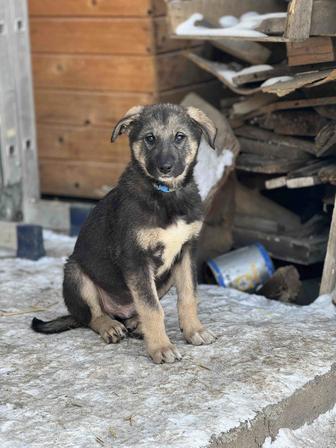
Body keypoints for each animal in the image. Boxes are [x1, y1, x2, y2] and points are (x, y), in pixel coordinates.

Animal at [32, 104, 218, 364]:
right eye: (150, 138)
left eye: (180, 137)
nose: (165, 168)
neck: (165, 195)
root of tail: (118, 312)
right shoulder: (136, 258)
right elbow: (152, 308)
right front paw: (161, 347)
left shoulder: (186, 251)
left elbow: (188, 296)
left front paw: (194, 330)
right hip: (75, 272)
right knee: (92, 316)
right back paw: (110, 326)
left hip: (165, 276)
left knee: (135, 310)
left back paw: (136, 324)